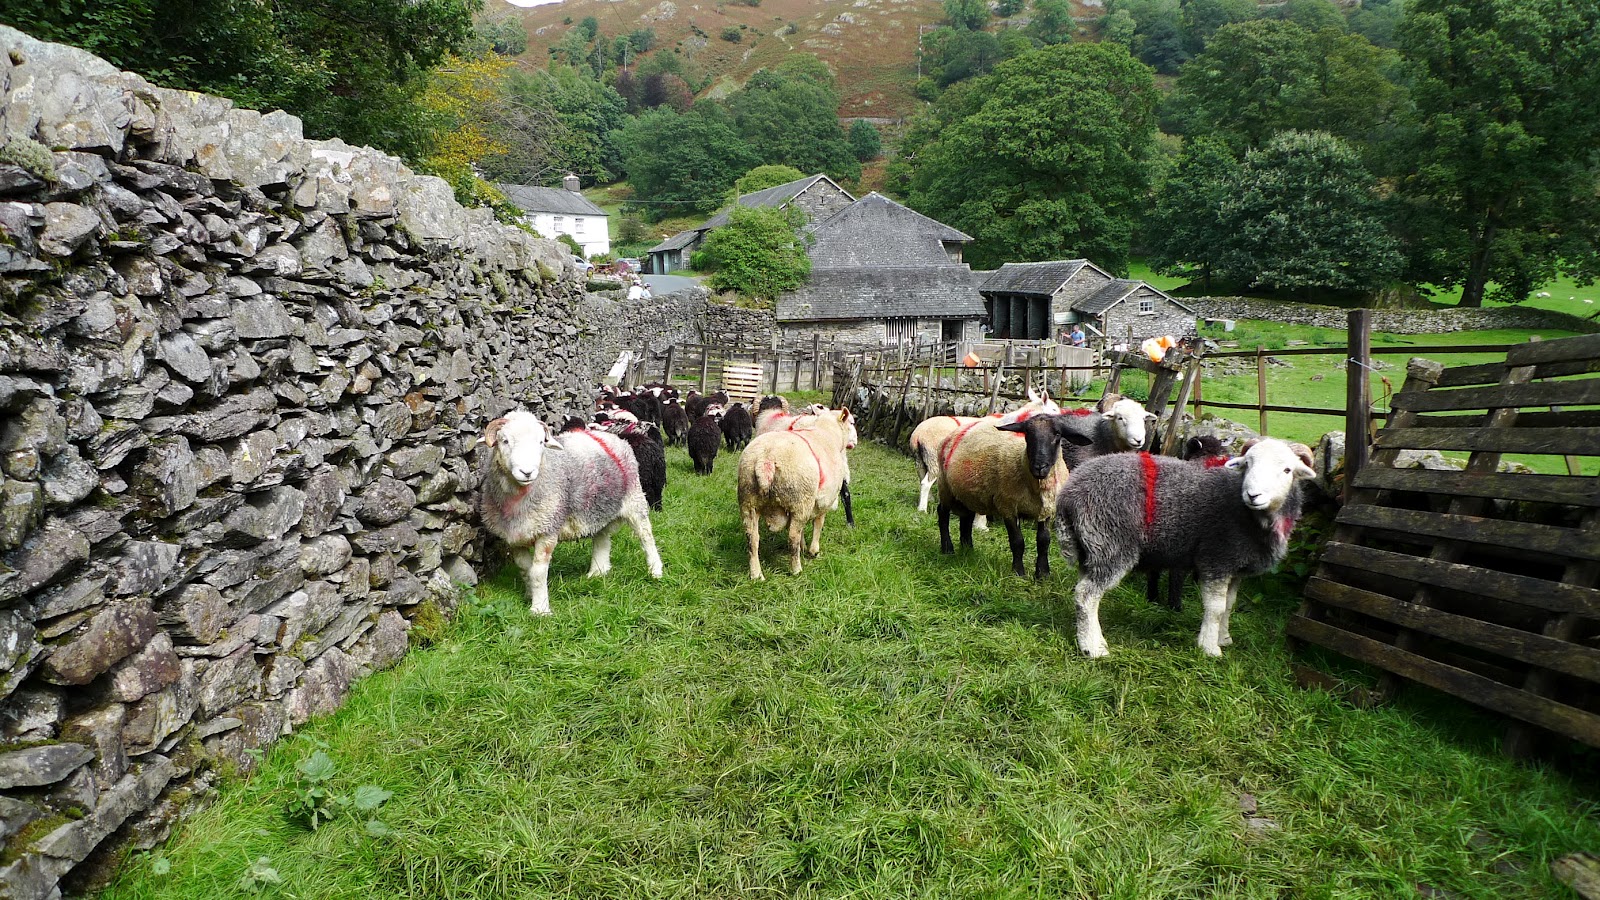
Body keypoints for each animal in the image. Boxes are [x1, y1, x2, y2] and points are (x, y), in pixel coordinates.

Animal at [478, 410, 663, 615]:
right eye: (505, 441)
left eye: (541, 442)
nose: (527, 472)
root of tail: (613, 437)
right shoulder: (515, 537)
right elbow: (526, 569)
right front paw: (530, 596)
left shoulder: (548, 530)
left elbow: (537, 572)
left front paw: (540, 609)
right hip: (599, 507)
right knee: (602, 539)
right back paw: (598, 572)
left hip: (634, 499)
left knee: (646, 536)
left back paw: (655, 571)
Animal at [737, 408, 856, 580]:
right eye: (852, 422)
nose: (855, 441)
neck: (827, 432)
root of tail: (765, 460)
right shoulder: (824, 501)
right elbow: (818, 524)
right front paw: (813, 551)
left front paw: (804, 547)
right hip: (800, 500)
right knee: (792, 537)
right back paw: (796, 569)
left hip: (748, 502)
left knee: (752, 539)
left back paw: (756, 575)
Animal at [936, 410, 1094, 579]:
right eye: (1027, 434)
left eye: (1057, 434)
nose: (1040, 466)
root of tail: (955, 432)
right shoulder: (1008, 507)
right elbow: (1017, 541)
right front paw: (1019, 572)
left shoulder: (1047, 510)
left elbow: (1044, 541)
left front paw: (1042, 574)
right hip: (945, 487)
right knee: (942, 513)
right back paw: (947, 548)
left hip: (968, 494)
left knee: (966, 518)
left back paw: (968, 550)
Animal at [1054, 438, 1315, 658]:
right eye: (1248, 464)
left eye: (1287, 470)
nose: (1253, 495)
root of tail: (1068, 493)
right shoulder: (1216, 558)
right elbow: (1216, 608)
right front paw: (1209, 648)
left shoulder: (1235, 566)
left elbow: (1229, 605)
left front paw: (1224, 638)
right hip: (1111, 542)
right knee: (1086, 595)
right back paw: (1093, 648)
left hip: (1091, 546)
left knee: (1084, 591)